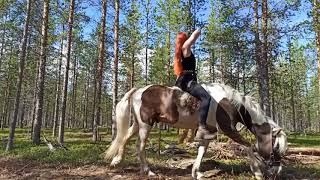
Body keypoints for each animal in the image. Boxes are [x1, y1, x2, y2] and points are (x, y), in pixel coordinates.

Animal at [105, 83, 288, 180]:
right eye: (276, 147)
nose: (277, 171)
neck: (229, 103)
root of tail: (137, 90)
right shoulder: (228, 129)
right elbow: (247, 146)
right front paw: (257, 172)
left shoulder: (208, 131)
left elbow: (202, 150)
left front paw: (197, 172)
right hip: (145, 125)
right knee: (139, 146)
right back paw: (148, 171)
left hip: (138, 124)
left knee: (124, 138)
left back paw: (116, 161)